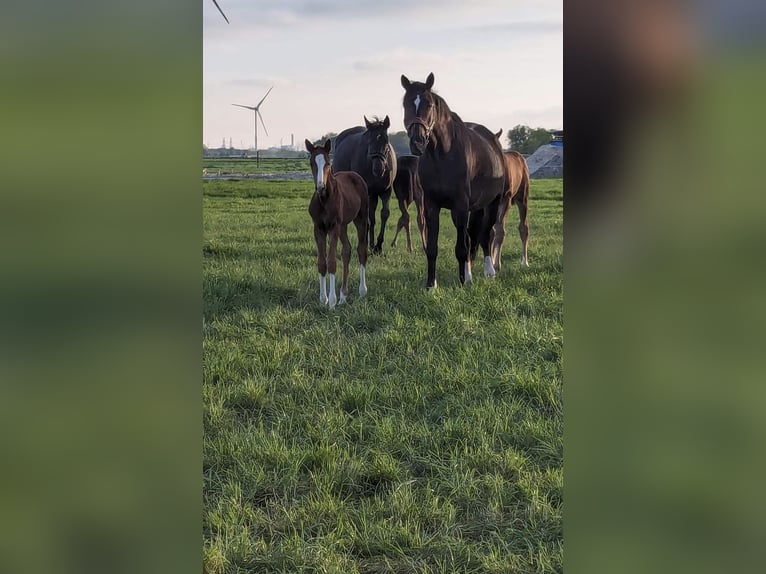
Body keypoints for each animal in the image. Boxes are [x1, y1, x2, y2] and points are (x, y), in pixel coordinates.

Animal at [304, 140, 370, 310]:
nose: (320, 186)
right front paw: (323, 299)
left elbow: (332, 261)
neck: (324, 200)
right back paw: (343, 295)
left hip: (360, 219)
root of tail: (355, 175)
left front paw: (332, 302)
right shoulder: (318, 228)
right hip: (343, 225)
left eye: (328, 163)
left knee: (361, 250)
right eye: (312, 162)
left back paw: (362, 291)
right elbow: (322, 263)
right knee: (347, 250)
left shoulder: (333, 227)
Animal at [332, 116, 400, 255]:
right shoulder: (367, 193)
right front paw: (368, 245)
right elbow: (368, 219)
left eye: (386, 140)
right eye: (369, 141)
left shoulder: (386, 192)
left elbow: (384, 214)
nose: (378, 168)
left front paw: (378, 246)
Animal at [402, 73, 510, 288]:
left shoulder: (460, 205)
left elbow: (462, 247)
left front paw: (462, 282)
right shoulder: (431, 205)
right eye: (405, 104)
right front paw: (431, 285)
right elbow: (432, 247)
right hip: (475, 207)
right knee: (473, 235)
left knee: (485, 234)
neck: (442, 155)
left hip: (493, 203)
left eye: (429, 104)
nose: (417, 142)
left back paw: (488, 271)